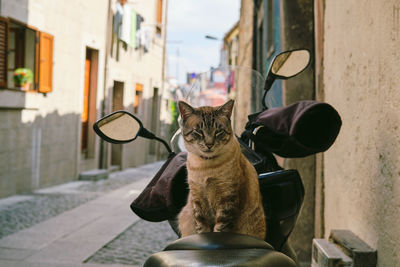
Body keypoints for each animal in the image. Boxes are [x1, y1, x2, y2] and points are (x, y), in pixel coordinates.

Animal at [177, 99, 266, 241]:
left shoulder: (227, 200)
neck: (205, 166)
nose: (209, 144)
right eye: (199, 132)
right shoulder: (198, 200)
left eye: (218, 131)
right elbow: (202, 228)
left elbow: (219, 230)